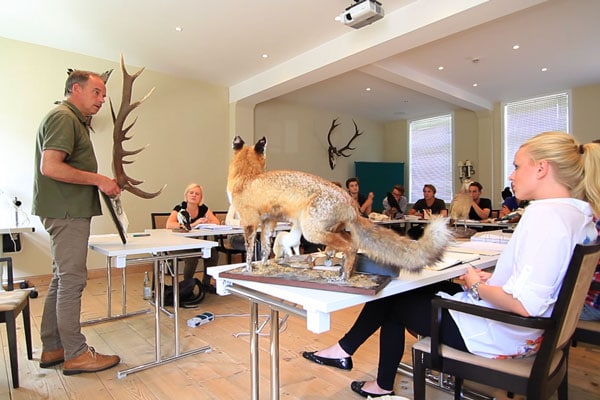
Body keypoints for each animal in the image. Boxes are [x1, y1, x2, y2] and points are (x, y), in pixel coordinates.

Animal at [227, 136, 452, 280]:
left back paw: (343, 277)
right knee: (348, 246)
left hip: (312, 231)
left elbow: (249, 252)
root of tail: (350, 202)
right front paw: (264, 266)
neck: (247, 178)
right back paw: (341, 270)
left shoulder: (249, 222)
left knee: (350, 247)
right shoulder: (268, 222)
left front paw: (248, 269)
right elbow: (265, 249)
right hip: (333, 230)